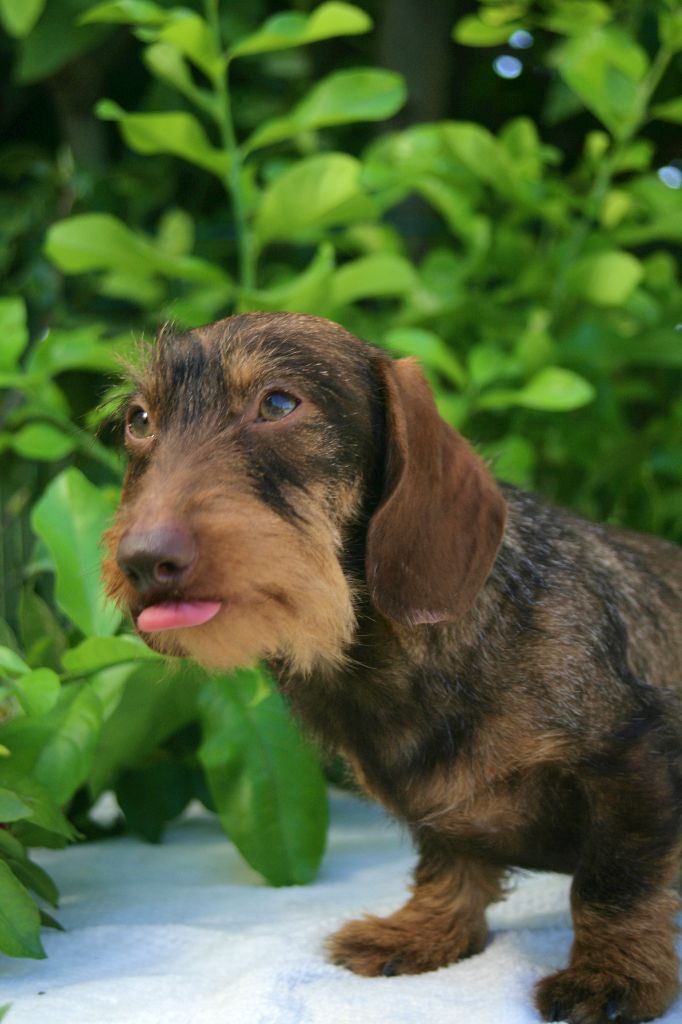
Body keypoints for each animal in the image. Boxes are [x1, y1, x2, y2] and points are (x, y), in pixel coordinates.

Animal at [103, 312, 682, 1024]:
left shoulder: (633, 758)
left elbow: (612, 883)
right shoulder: (437, 809)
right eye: (139, 418)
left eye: (278, 404)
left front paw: (612, 974)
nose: (140, 561)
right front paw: (426, 932)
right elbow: (447, 863)